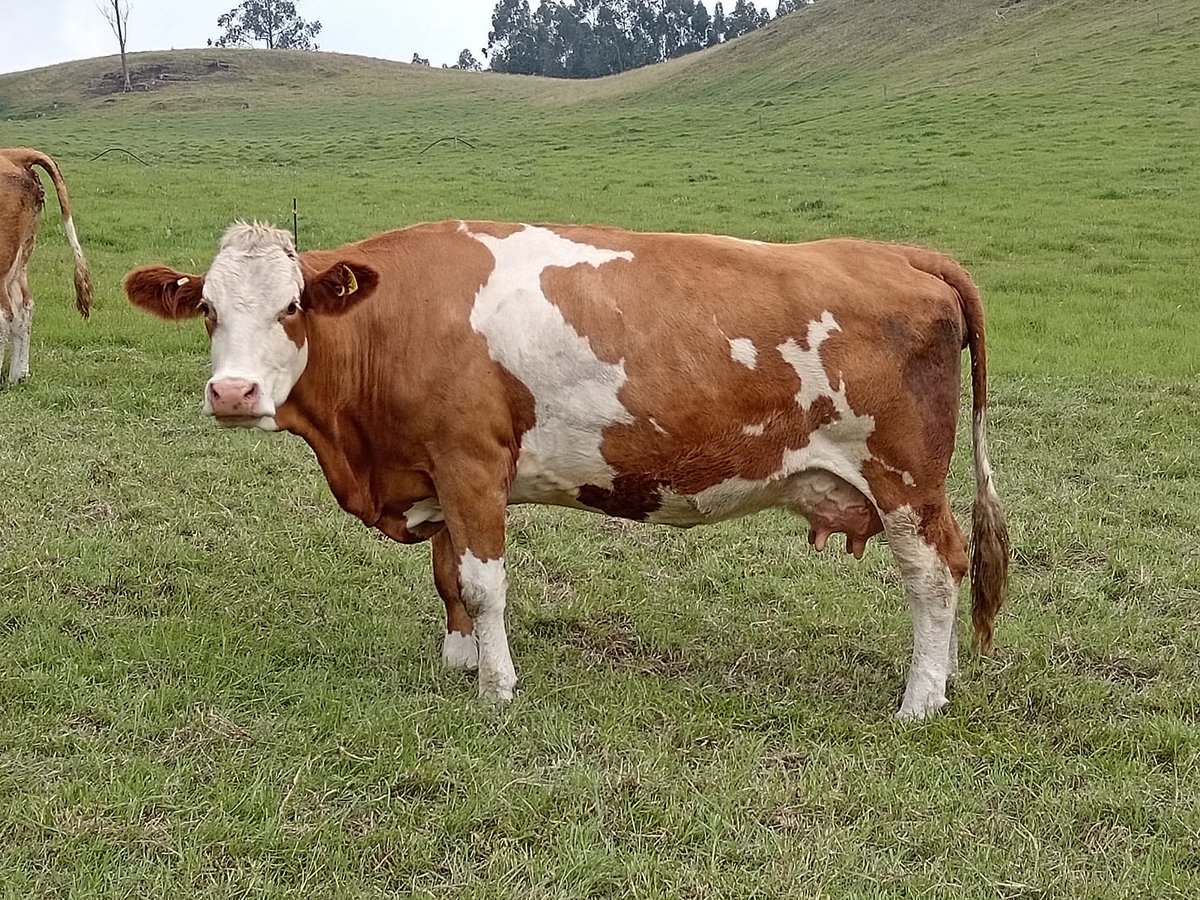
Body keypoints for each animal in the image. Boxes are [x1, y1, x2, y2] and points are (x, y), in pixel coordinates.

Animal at [124, 220, 1010, 720]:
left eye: (292, 307)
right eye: (208, 310)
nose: (232, 393)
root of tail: (901, 254)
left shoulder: (471, 462)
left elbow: (483, 582)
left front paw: (495, 689)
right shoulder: (442, 472)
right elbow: (448, 574)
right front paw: (460, 661)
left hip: (904, 482)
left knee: (935, 575)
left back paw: (921, 699)